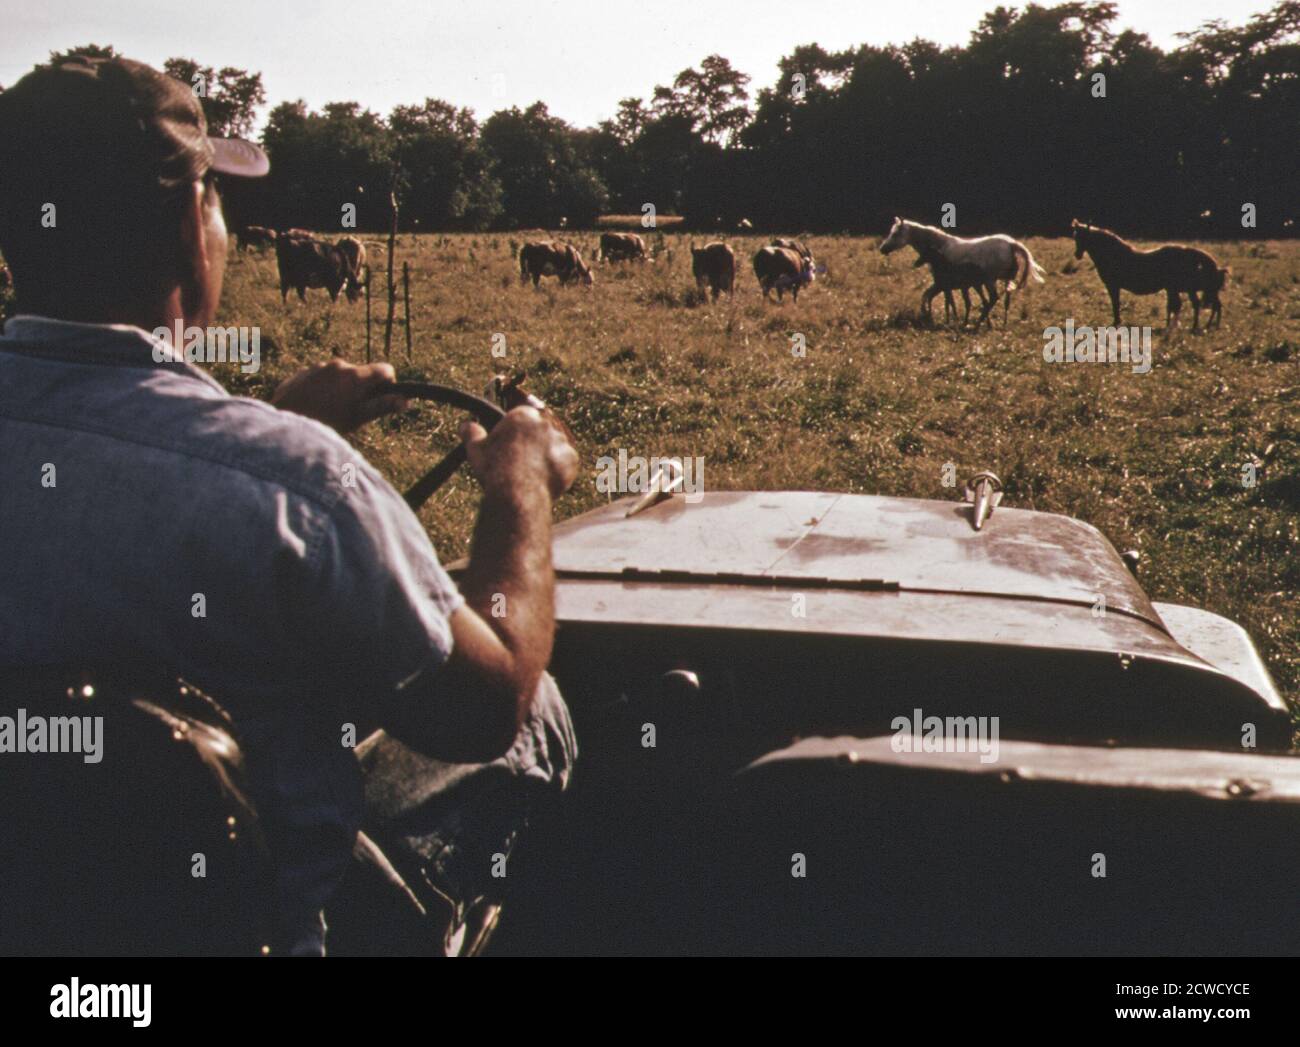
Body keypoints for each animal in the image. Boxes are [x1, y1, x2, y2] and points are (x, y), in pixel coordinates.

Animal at [873, 221, 1045, 330]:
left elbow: (947, 301)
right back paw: (1001, 323)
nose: (882, 249)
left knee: (993, 299)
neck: (940, 249)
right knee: (1005, 302)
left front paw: (947, 320)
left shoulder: (944, 284)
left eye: (896, 234)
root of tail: (1011, 243)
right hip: (1005, 281)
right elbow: (934, 297)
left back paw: (978, 324)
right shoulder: (945, 284)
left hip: (990, 281)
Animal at [1066, 221, 1227, 330]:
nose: (1077, 254)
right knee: (1196, 304)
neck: (1114, 254)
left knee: (1196, 304)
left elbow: (1115, 303)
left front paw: (1116, 322)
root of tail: (1188, 251)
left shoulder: (1113, 286)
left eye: (1085, 237)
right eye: (1075, 237)